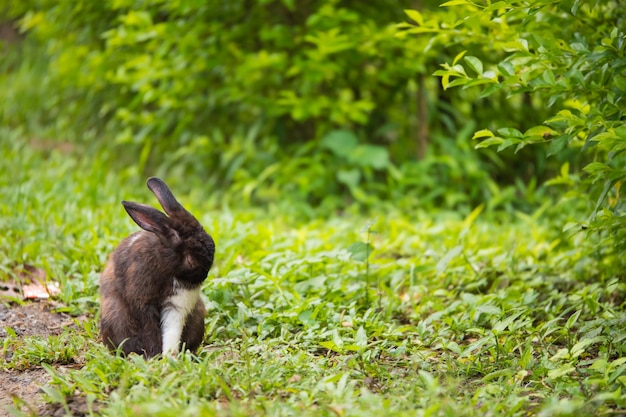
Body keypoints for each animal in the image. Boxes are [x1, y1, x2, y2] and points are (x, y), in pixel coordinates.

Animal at [98, 177, 213, 356]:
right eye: (190, 259)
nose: (203, 276)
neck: (166, 265)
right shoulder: (143, 303)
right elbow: (149, 330)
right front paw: (155, 355)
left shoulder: (176, 304)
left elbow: (171, 331)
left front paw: (169, 357)